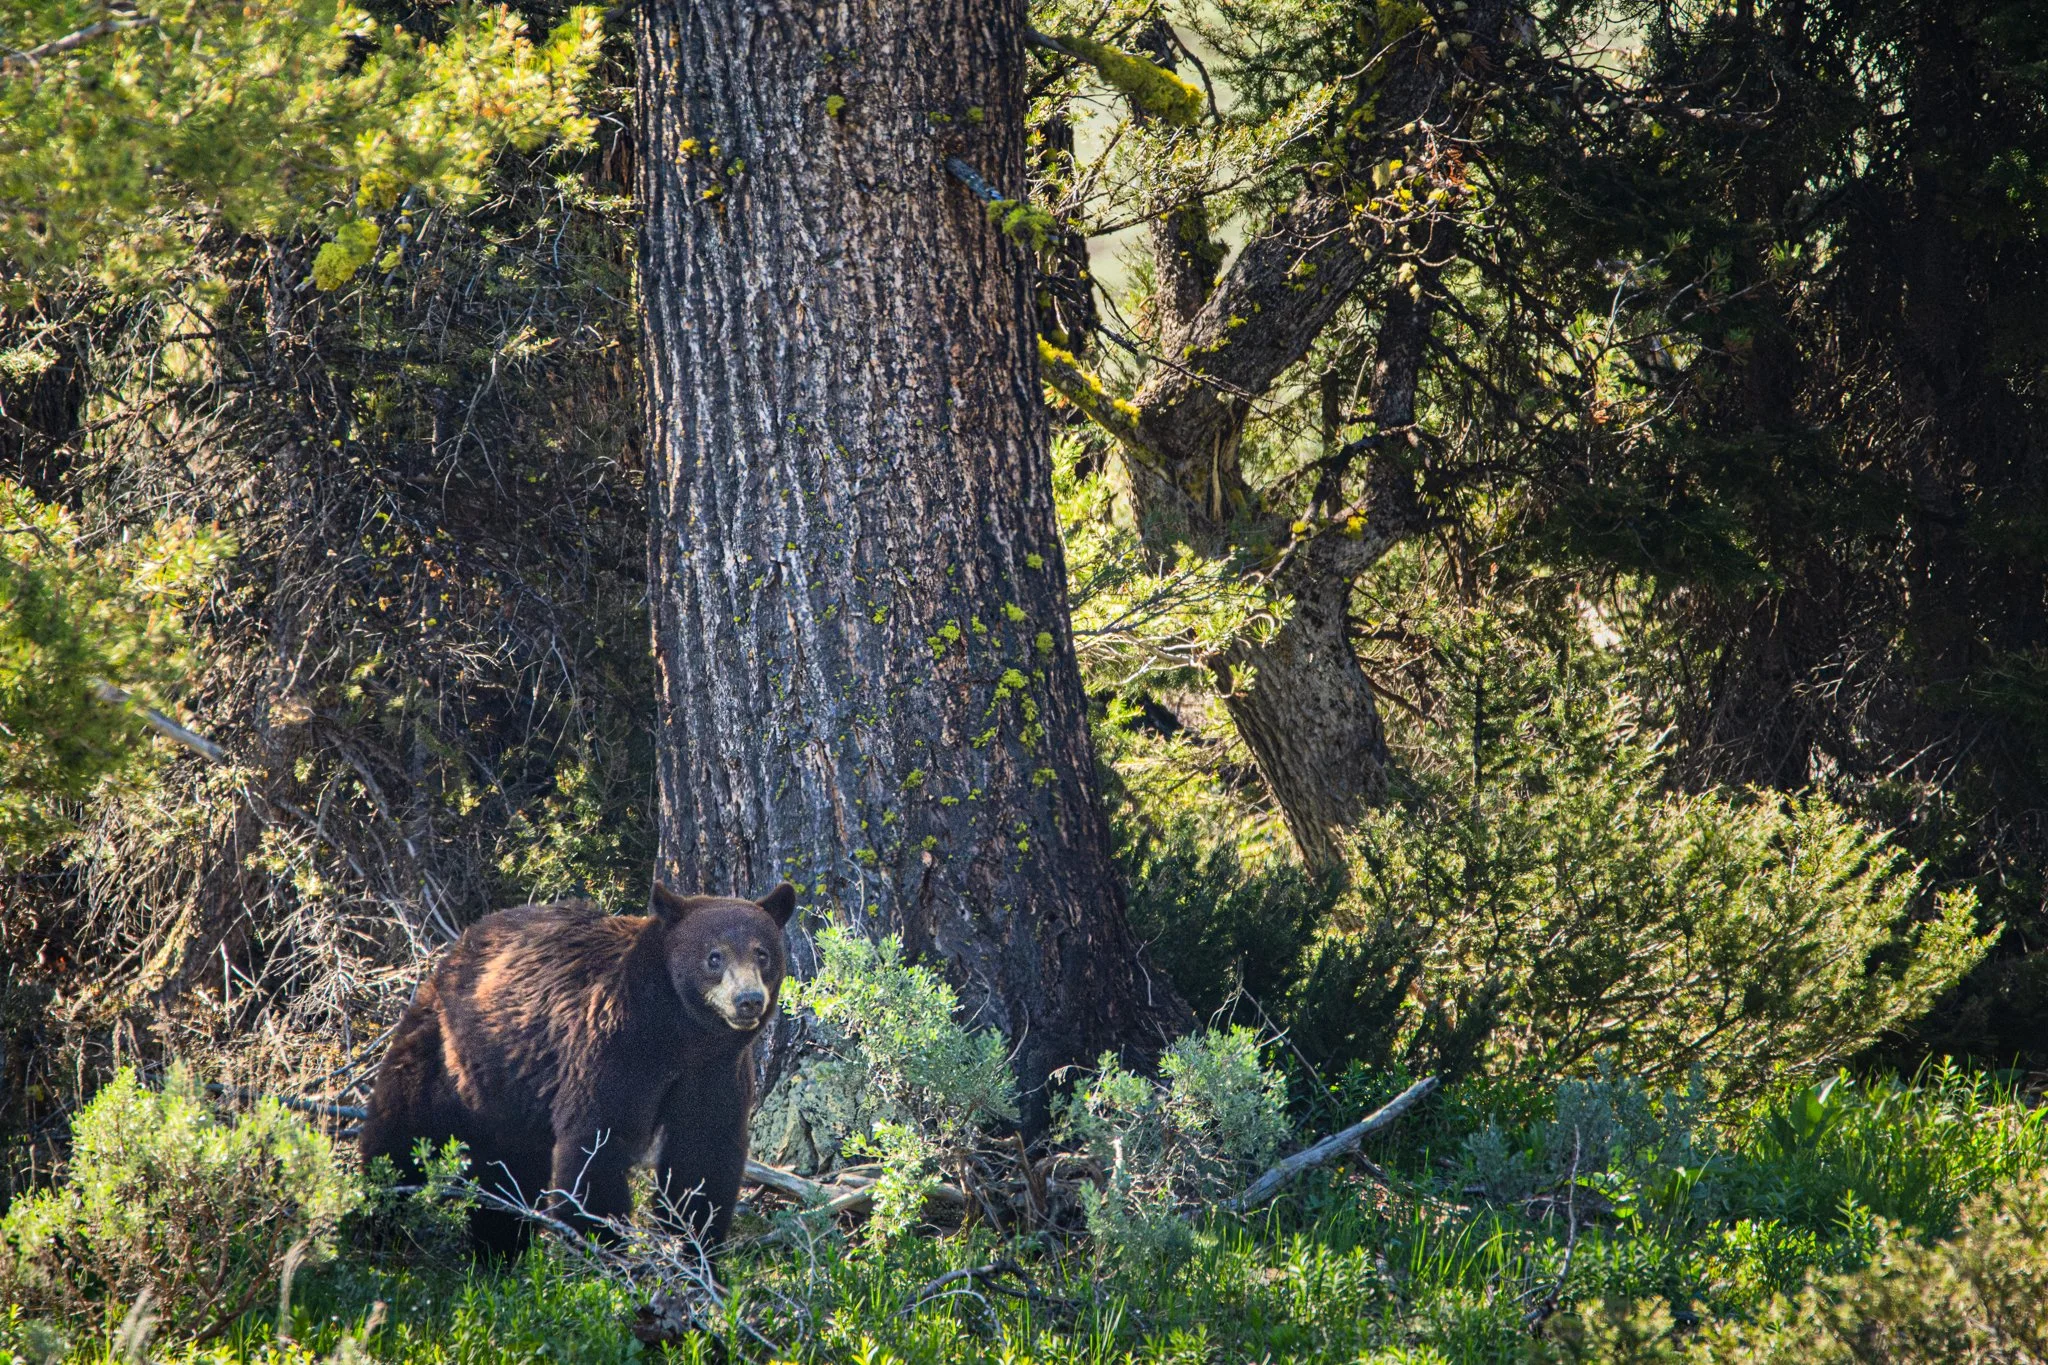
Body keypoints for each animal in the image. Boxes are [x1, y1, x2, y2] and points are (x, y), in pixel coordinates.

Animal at [359, 881, 795, 1258]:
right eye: (714, 956)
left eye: (762, 953)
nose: (748, 1000)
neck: (678, 1032)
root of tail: (458, 945)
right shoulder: (615, 1047)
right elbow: (598, 1143)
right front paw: (603, 1249)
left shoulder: (715, 1070)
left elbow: (703, 1153)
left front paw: (696, 1254)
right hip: (448, 1050)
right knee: (402, 1131)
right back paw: (379, 1221)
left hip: (511, 1089)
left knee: (508, 1167)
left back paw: (498, 1248)